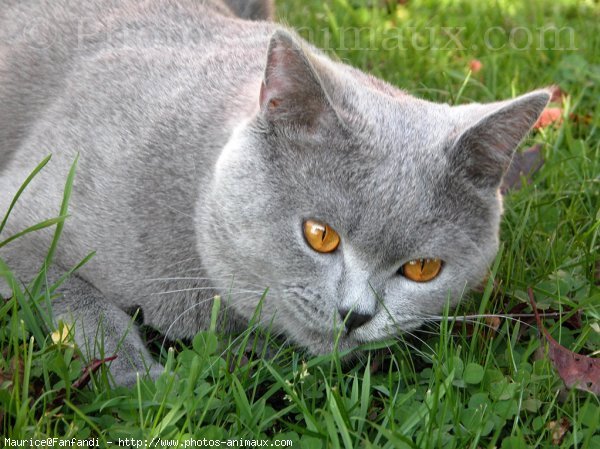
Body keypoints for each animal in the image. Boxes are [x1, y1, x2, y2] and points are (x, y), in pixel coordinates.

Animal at [0, 0, 548, 384]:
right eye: (320, 235)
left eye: (423, 269)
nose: (356, 315)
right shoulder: (19, 219)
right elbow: (72, 295)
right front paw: (139, 378)